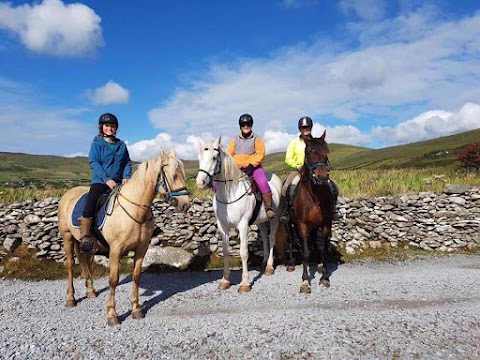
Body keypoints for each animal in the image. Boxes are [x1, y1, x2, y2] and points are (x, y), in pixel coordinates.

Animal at [56, 150, 189, 324]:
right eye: (173, 175)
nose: (185, 204)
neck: (135, 211)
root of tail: (69, 194)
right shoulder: (115, 250)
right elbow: (113, 280)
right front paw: (112, 315)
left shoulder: (141, 249)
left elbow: (136, 277)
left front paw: (136, 309)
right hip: (67, 238)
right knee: (71, 266)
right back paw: (70, 299)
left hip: (89, 245)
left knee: (87, 263)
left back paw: (91, 291)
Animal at [196, 136, 284, 292]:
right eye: (199, 158)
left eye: (214, 157)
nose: (200, 182)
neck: (229, 194)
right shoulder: (222, 227)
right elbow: (226, 251)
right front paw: (225, 280)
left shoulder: (243, 225)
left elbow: (243, 253)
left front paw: (245, 283)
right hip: (260, 221)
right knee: (264, 238)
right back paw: (263, 262)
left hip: (275, 219)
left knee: (272, 238)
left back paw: (269, 266)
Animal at [286, 131, 336, 294]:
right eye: (309, 151)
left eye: (326, 152)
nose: (322, 177)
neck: (315, 195)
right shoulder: (302, 225)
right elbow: (305, 252)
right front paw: (305, 281)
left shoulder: (326, 224)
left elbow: (324, 249)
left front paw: (325, 277)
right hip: (289, 223)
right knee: (292, 240)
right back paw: (291, 264)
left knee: (313, 242)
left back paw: (318, 264)